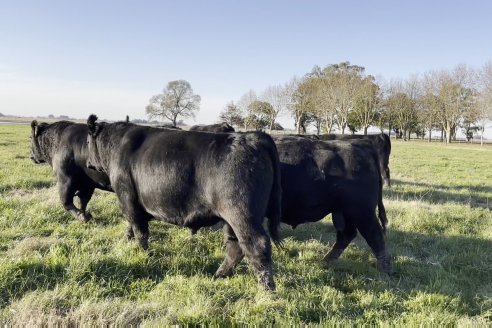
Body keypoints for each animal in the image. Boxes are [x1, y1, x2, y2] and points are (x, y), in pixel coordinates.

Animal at [86, 114, 282, 290]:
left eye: (88, 142)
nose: (88, 163)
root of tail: (251, 137)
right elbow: (132, 227)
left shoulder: (127, 198)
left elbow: (140, 232)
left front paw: (145, 256)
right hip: (230, 219)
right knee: (236, 246)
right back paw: (219, 275)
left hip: (242, 215)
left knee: (257, 246)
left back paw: (267, 291)